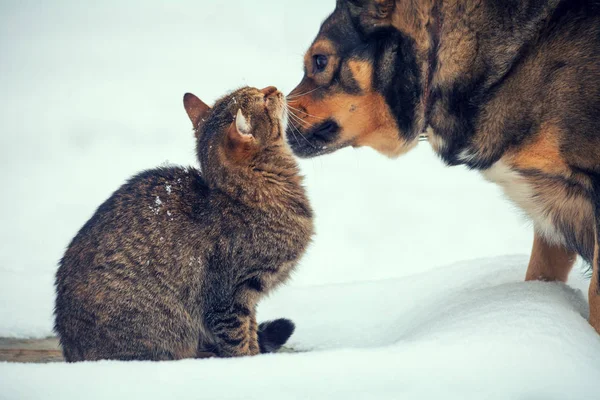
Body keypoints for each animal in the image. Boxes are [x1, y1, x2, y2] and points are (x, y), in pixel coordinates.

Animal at [54, 86, 314, 360]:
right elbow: (237, 341)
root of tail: (71, 352)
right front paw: (246, 362)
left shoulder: (249, 300)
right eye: (263, 99)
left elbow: (251, 331)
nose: (274, 88)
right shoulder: (228, 298)